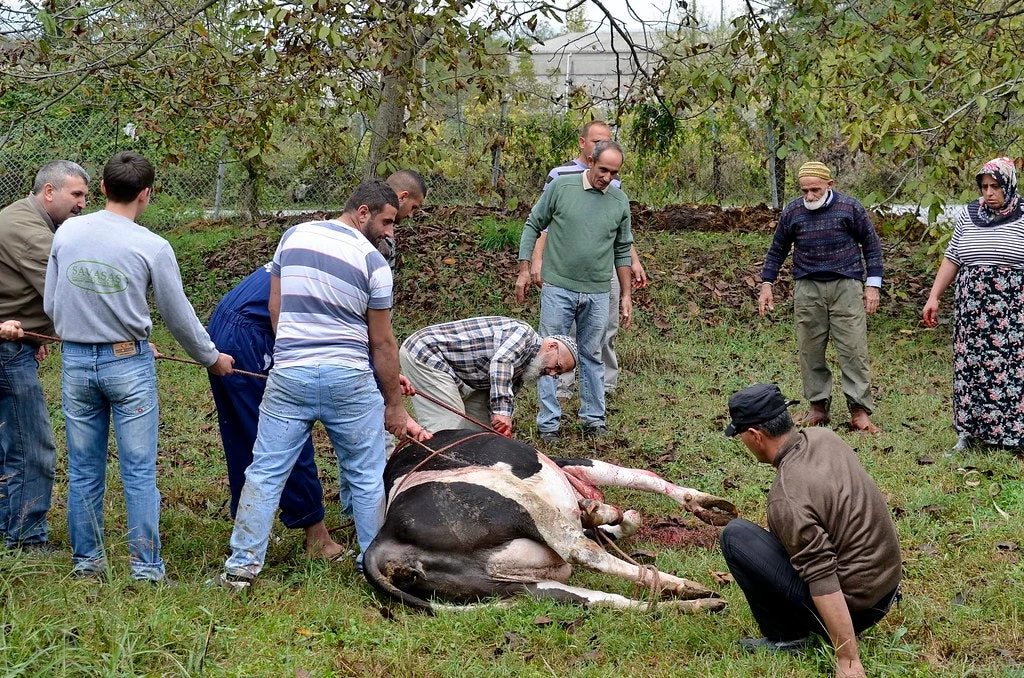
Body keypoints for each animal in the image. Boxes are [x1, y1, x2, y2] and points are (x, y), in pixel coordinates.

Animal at [360, 430, 737, 614]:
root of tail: (383, 540)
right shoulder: (570, 462)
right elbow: (639, 477)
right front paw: (708, 504)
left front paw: (608, 515)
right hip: (512, 500)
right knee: (580, 551)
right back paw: (684, 584)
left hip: (517, 587)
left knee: (599, 600)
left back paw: (699, 603)